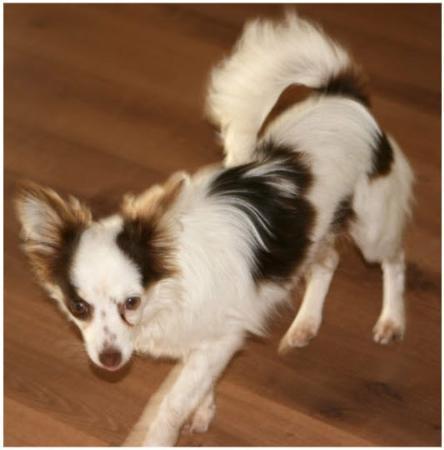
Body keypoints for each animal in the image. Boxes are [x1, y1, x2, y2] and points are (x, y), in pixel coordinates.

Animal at [15, 13, 413, 446]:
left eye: (131, 302)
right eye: (79, 308)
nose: (109, 360)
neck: (167, 288)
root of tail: (342, 94)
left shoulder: (220, 338)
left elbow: (171, 402)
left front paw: (159, 434)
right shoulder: (205, 338)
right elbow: (198, 384)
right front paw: (203, 409)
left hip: (372, 229)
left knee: (394, 259)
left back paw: (391, 320)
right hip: (315, 230)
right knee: (328, 260)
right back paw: (305, 325)